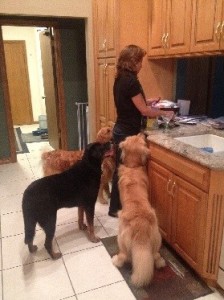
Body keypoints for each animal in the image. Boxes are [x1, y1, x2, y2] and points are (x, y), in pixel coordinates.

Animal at [111, 135, 165, 288]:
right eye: (135, 136)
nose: (144, 133)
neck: (133, 167)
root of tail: (140, 227)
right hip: (157, 238)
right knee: (156, 255)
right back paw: (160, 263)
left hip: (121, 238)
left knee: (123, 255)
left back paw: (116, 260)